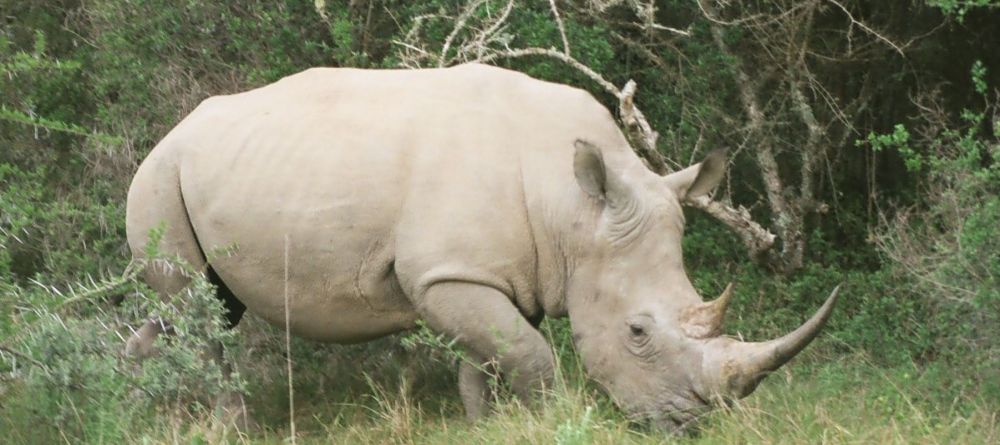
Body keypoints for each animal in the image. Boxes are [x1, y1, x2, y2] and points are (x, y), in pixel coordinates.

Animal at [125, 63, 839, 433]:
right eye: (637, 332)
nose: (689, 426)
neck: (573, 209)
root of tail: (172, 130)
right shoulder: (445, 274)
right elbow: (529, 355)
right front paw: (550, 422)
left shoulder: (497, 271)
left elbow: (491, 355)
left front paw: (483, 426)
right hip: (160, 175)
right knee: (200, 311)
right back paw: (233, 429)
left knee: (208, 306)